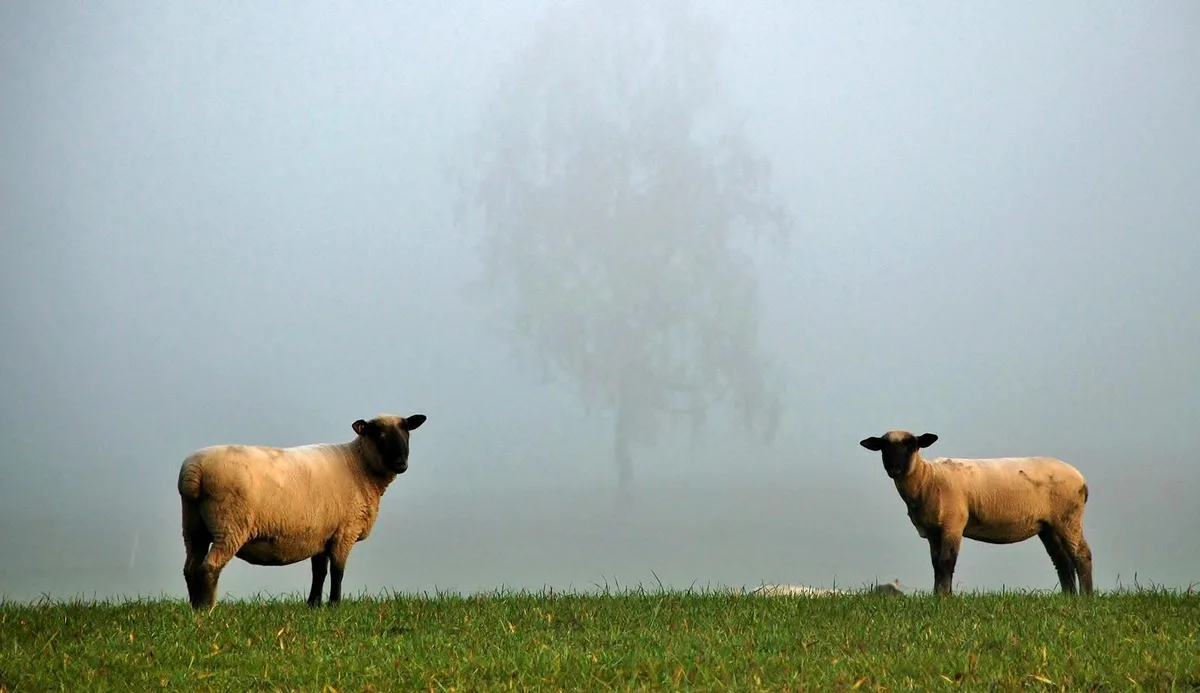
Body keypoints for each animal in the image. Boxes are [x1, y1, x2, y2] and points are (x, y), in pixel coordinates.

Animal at [177, 413, 427, 610]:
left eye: (406, 433)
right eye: (379, 435)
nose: (401, 464)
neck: (360, 466)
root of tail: (194, 471)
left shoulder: (322, 534)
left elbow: (320, 571)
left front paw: (313, 605)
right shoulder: (344, 531)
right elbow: (337, 571)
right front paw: (335, 605)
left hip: (193, 525)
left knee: (190, 568)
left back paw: (195, 608)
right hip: (229, 525)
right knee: (209, 567)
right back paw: (207, 609)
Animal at [859, 430, 1093, 596]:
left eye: (911, 446)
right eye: (883, 447)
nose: (894, 468)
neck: (928, 479)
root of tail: (1081, 479)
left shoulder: (953, 524)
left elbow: (946, 562)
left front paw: (944, 597)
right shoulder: (934, 531)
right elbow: (935, 564)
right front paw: (936, 595)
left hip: (1068, 517)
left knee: (1081, 554)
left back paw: (1086, 597)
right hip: (1048, 525)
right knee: (1062, 560)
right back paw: (1069, 597)